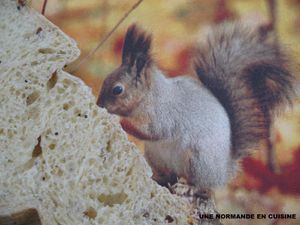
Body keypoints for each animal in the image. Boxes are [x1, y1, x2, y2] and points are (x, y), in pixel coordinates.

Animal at [96, 22, 296, 190]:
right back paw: (159, 179)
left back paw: (190, 188)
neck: (152, 96)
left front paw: (120, 121)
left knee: (202, 187)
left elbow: (153, 132)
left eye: (117, 90)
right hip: (156, 157)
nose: (99, 104)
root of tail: (224, 171)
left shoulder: (164, 117)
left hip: (197, 160)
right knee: (170, 176)